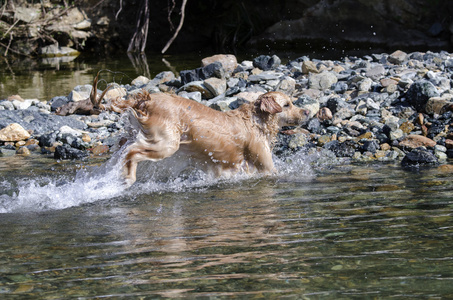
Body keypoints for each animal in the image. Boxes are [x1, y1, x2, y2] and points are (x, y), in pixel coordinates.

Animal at [90, 78, 308, 185]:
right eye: (287, 105)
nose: (306, 111)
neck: (256, 121)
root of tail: (148, 100)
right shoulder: (264, 165)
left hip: (134, 137)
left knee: (123, 150)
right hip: (166, 143)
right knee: (132, 153)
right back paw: (128, 179)